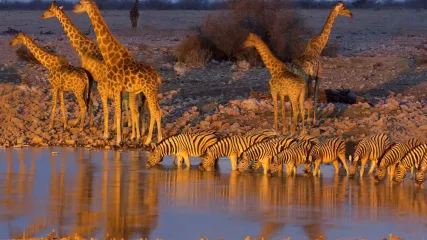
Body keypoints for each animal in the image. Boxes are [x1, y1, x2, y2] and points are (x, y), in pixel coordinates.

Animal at [41, 0, 146, 141]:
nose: (42, 16)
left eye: (49, 10)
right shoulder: (93, 79)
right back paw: (137, 129)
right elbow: (91, 100)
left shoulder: (90, 77)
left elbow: (88, 100)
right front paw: (89, 123)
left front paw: (80, 123)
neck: (81, 48)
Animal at [73, 0, 162, 145]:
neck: (111, 57)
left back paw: (148, 140)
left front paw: (117, 140)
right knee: (157, 111)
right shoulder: (119, 90)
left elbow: (118, 113)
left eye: (81, 3)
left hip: (149, 90)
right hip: (152, 91)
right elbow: (119, 113)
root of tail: (158, 77)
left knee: (155, 111)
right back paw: (158, 138)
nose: (73, 8)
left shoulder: (116, 88)